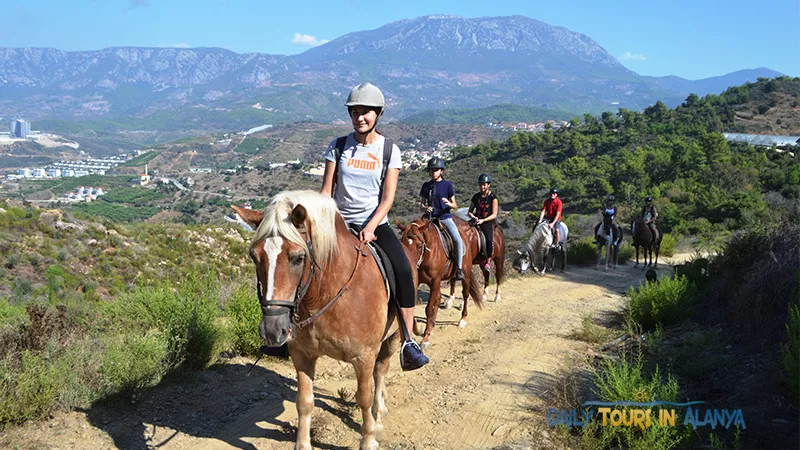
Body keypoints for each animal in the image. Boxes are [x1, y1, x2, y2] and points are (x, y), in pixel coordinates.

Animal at [233, 191, 412, 450]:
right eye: (254, 257)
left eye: (298, 258)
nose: (272, 331)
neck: (324, 295)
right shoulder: (302, 355)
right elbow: (304, 401)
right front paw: (302, 444)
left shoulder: (364, 356)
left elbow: (364, 397)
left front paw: (368, 438)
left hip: (394, 336)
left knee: (381, 371)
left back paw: (379, 414)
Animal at [394, 216, 482, 350]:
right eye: (402, 243)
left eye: (419, 246)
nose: (408, 267)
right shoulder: (419, 283)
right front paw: (418, 329)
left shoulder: (435, 282)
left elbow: (428, 309)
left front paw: (426, 337)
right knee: (439, 297)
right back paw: (433, 325)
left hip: (465, 276)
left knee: (465, 295)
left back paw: (462, 319)